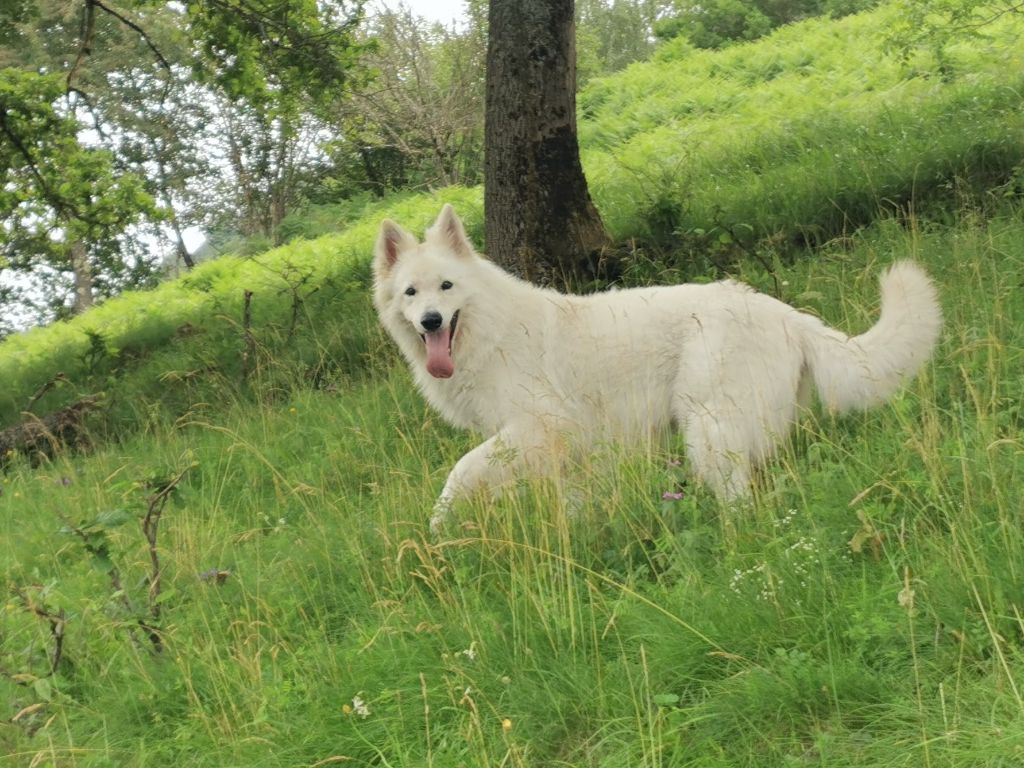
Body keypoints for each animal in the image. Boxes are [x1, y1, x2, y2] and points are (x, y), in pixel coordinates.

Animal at [372, 204, 937, 532]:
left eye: (446, 287)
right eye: (411, 293)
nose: (430, 321)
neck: (489, 328)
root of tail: (787, 314)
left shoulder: (538, 427)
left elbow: (460, 470)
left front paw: (439, 524)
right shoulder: (573, 450)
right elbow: (576, 504)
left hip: (707, 432)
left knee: (741, 507)